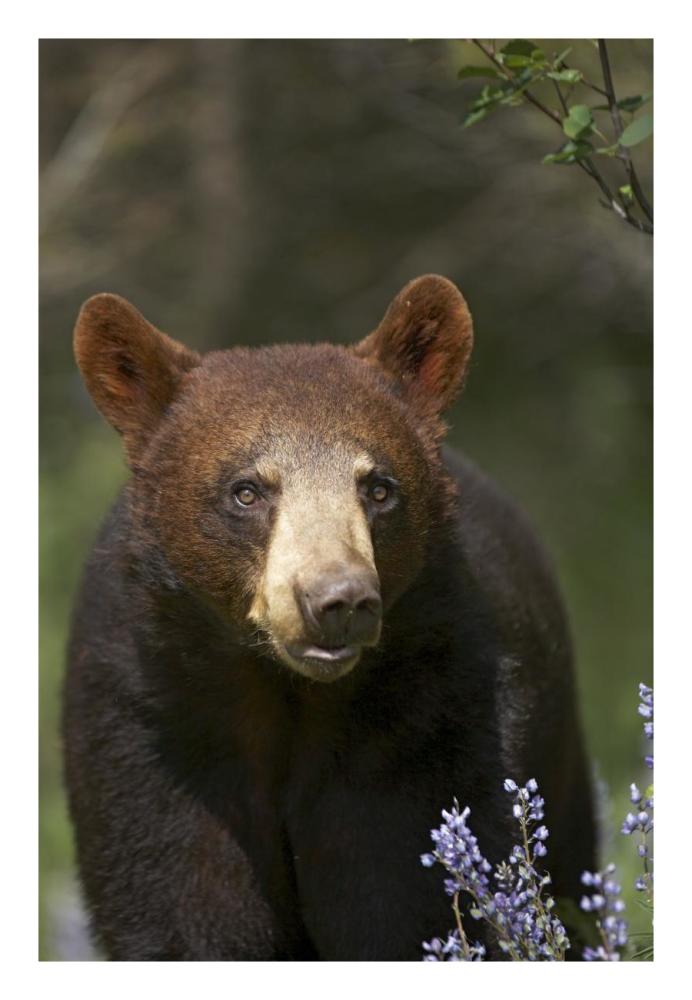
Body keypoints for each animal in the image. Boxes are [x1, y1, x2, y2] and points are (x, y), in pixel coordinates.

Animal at [63, 275, 596, 961]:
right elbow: (185, 908)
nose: (338, 601)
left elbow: (404, 903)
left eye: (378, 488)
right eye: (247, 490)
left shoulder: (426, 726)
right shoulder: (152, 730)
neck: (286, 695)